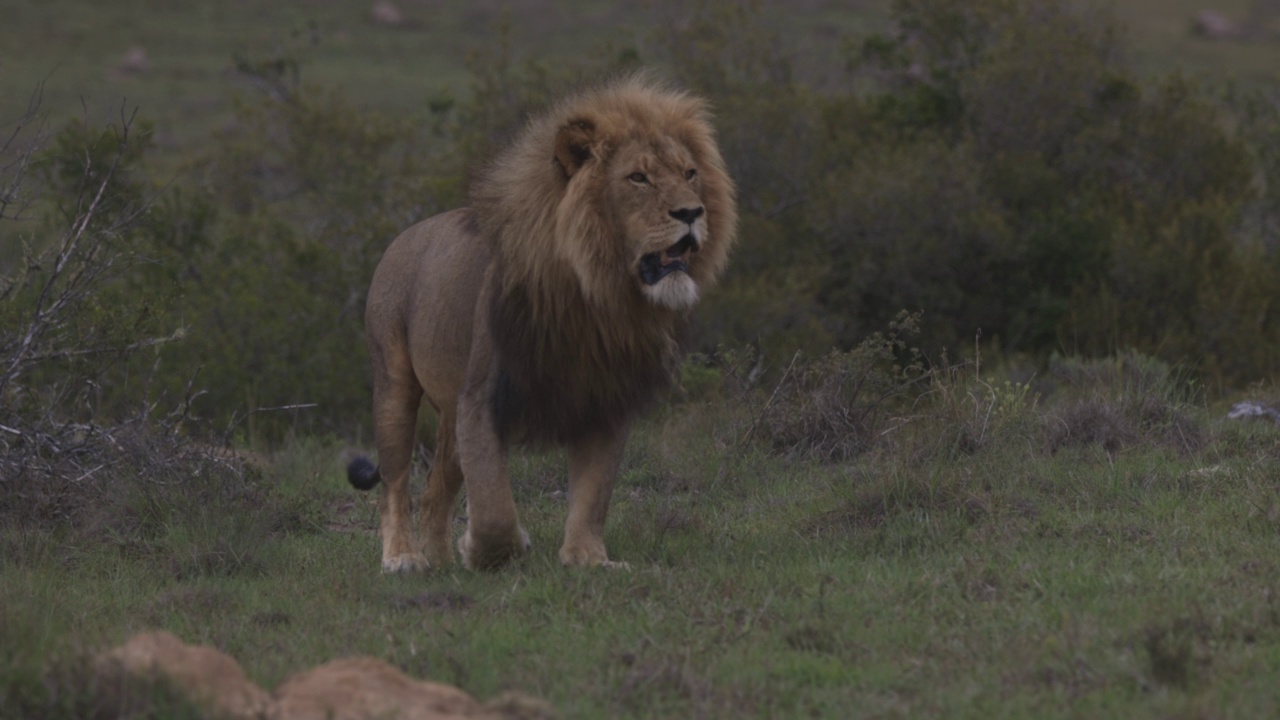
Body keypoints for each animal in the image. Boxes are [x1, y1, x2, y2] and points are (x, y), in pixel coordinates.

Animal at [345, 75, 737, 568]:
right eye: (638, 177)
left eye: (690, 174)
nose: (691, 212)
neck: (593, 294)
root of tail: (405, 235)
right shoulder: (483, 399)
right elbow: (494, 505)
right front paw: (489, 549)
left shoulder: (604, 400)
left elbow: (593, 493)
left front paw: (588, 559)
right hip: (395, 386)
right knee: (394, 483)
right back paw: (404, 558)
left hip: (450, 414)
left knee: (435, 493)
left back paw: (442, 562)